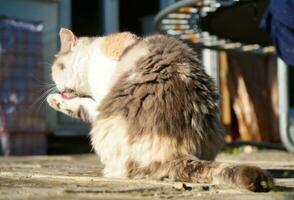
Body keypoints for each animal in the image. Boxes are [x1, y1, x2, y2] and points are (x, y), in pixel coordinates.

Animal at [46, 28, 274, 192]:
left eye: (55, 68)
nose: (55, 86)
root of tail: (178, 151)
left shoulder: (103, 99)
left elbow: (84, 105)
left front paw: (54, 98)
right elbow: (81, 104)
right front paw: (55, 99)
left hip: (105, 128)